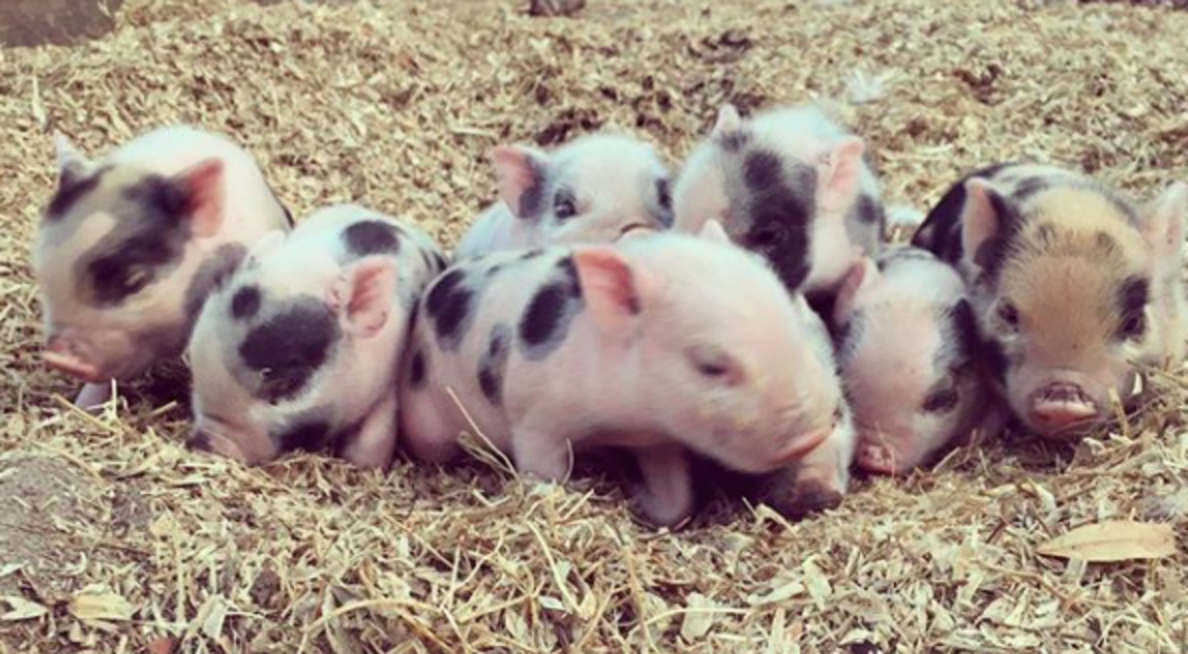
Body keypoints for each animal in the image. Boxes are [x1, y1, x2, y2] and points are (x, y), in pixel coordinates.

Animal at [398, 222, 848, 527]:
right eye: (710, 364)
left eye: (793, 325)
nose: (811, 435)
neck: (620, 420)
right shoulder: (534, 416)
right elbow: (543, 470)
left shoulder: (657, 439)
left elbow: (677, 501)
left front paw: (639, 497)